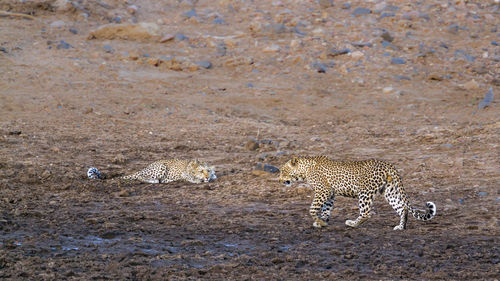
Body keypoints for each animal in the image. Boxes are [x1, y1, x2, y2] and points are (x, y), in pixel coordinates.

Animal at [280, 155, 436, 230]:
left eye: (282, 170)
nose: (279, 179)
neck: (304, 170)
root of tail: (388, 165)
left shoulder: (323, 191)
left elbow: (312, 209)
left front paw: (319, 222)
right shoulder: (330, 194)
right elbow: (325, 209)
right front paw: (322, 222)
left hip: (365, 193)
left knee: (366, 213)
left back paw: (352, 224)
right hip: (389, 191)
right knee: (402, 207)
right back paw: (401, 227)